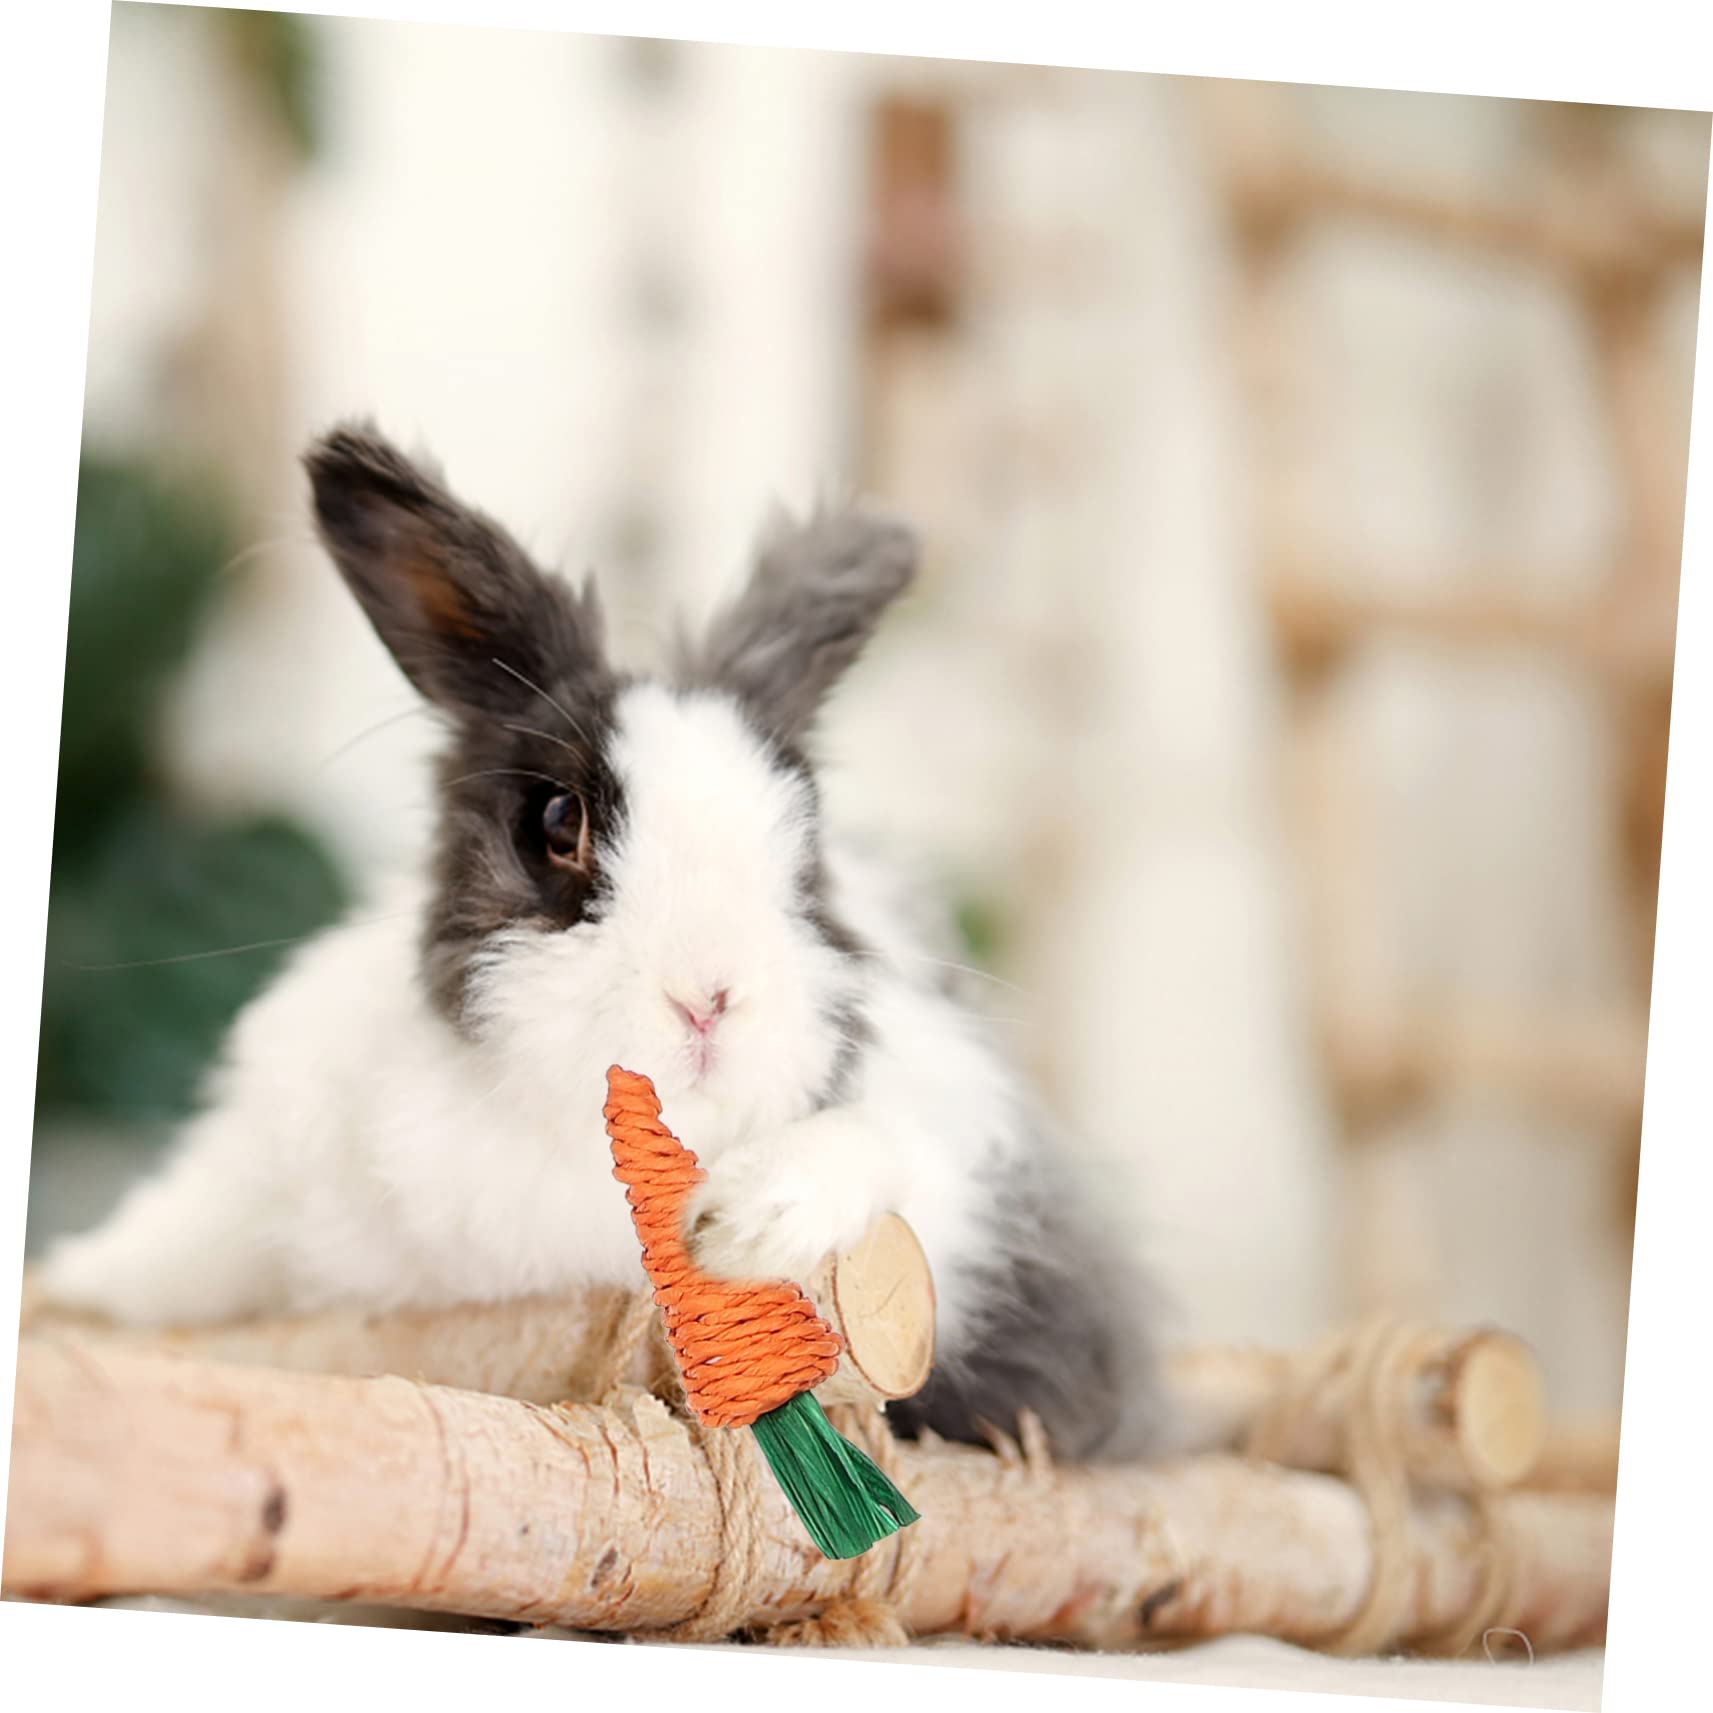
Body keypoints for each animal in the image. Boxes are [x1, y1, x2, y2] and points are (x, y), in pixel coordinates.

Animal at [36, 423, 1174, 1461]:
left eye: (807, 840)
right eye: (555, 821)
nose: (709, 997)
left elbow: (873, 1145)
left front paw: (745, 1222)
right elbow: (174, 1241)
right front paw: (69, 1287)